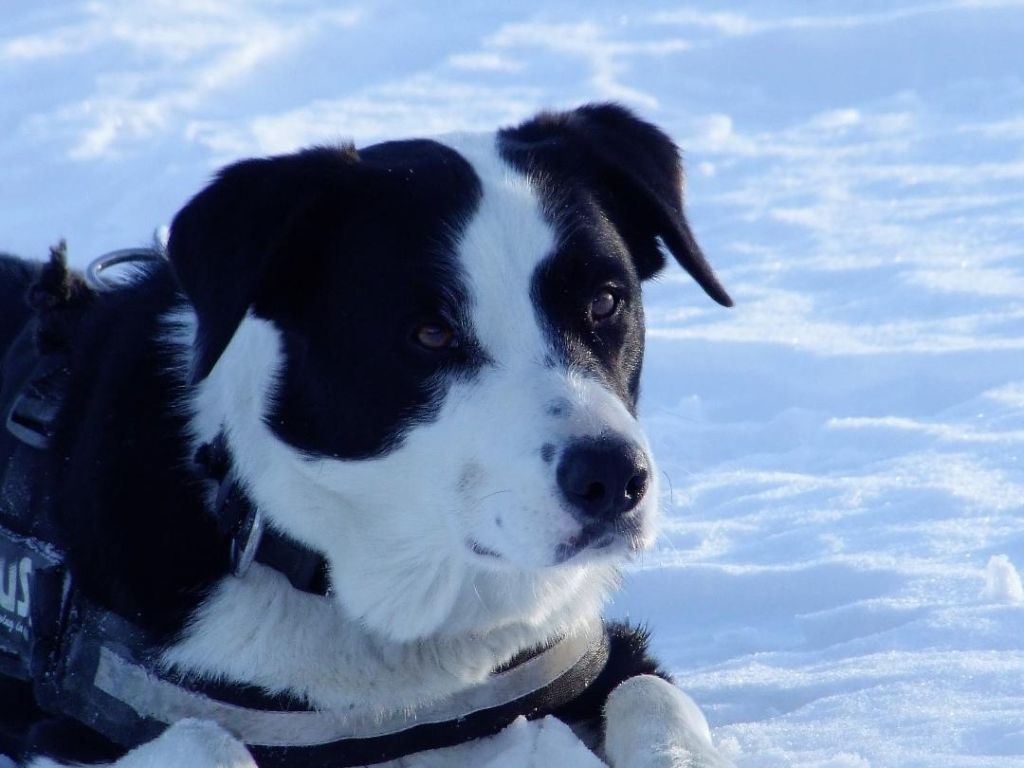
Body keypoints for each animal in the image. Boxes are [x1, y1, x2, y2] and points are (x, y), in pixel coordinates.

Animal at [0, 103, 737, 768]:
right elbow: (208, 741)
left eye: (605, 302)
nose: (614, 478)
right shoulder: (65, 731)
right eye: (430, 333)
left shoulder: (593, 656)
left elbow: (650, 694)